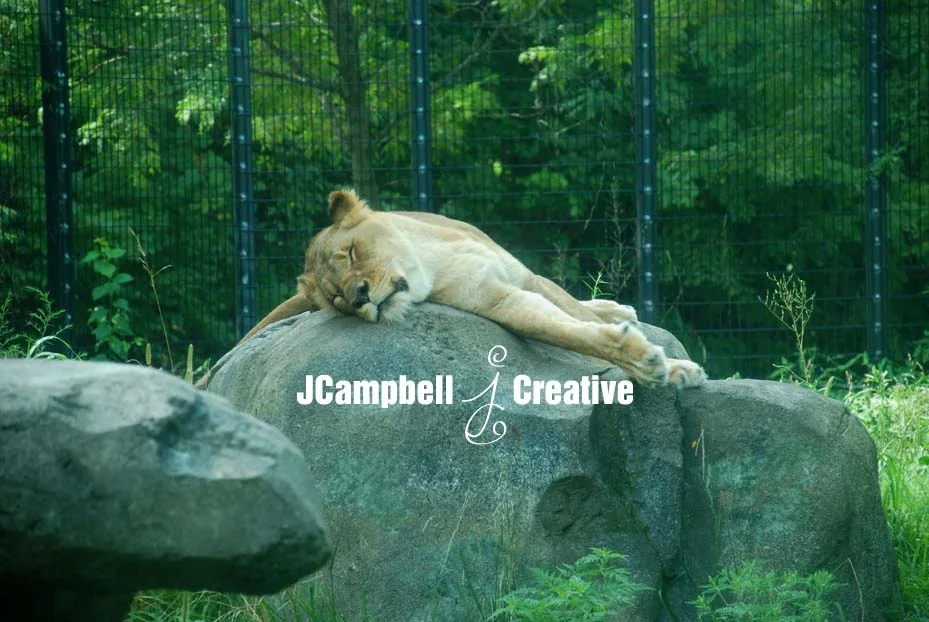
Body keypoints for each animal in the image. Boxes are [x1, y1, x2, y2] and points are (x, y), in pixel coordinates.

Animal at [234, 189, 706, 388]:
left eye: (349, 254)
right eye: (336, 301)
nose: (359, 297)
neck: (430, 264)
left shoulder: (523, 277)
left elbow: (576, 316)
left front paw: (670, 366)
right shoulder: (501, 300)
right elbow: (566, 331)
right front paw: (654, 364)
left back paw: (617, 308)